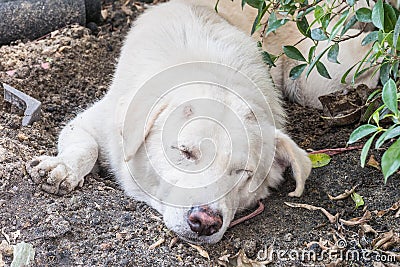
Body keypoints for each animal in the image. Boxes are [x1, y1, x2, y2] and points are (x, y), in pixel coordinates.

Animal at [27, 0, 312, 245]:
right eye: (184, 152)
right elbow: (86, 146)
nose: (205, 222)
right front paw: (63, 168)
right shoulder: (91, 121)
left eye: (243, 173)